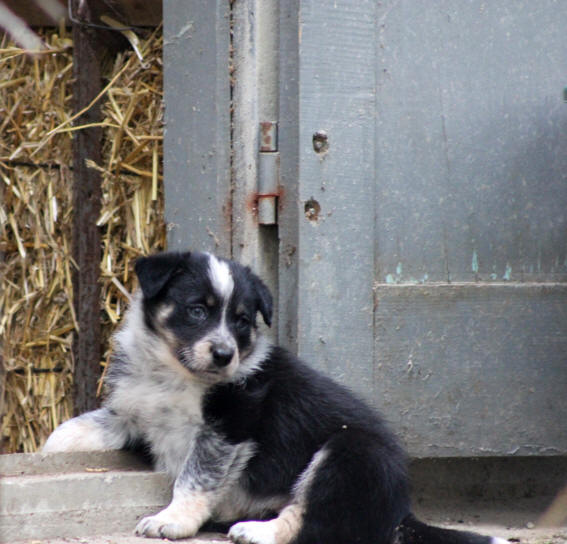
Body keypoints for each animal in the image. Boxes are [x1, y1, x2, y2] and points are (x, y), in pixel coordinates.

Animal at [42, 251, 508, 544]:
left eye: (242, 320)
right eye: (197, 310)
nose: (224, 354)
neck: (174, 375)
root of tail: (401, 512)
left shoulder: (227, 428)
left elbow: (194, 478)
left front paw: (170, 521)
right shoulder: (136, 413)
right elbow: (86, 424)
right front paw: (49, 450)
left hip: (353, 452)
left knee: (312, 524)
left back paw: (256, 531)